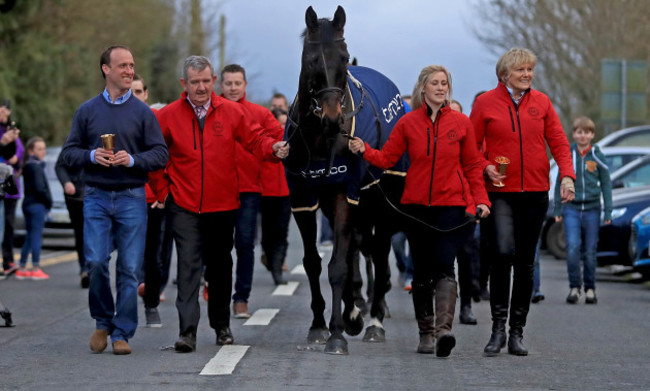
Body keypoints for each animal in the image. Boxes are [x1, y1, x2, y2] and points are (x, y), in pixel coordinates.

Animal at [284, 6, 404, 356]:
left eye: (344, 56)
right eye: (311, 58)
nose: (333, 118)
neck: (319, 138)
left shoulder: (344, 194)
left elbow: (338, 266)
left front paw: (337, 334)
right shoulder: (303, 199)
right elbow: (314, 262)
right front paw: (319, 325)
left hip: (380, 203)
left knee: (379, 253)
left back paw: (374, 320)